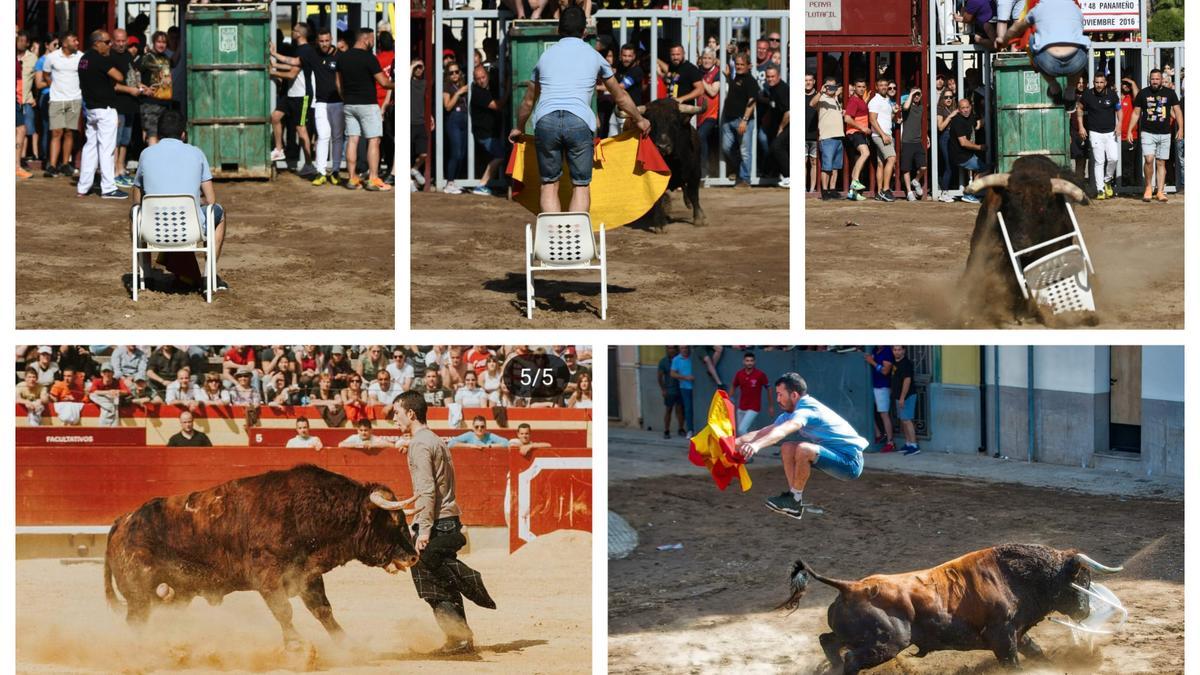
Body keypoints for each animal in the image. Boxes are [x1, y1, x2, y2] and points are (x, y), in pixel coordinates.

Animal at [104, 461, 422, 648]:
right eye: (394, 521)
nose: (413, 556)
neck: (305, 512)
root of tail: (123, 520)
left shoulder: (307, 575)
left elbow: (323, 610)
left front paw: (347, 645)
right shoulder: (267, 578)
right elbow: (284, 610)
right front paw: (298, 647)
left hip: (174, 593)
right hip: (139, 594)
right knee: (136, 622)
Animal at [624, 97, 705, 228]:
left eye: (674, 122)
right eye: (651, 123)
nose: (663, 147)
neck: (673, 161)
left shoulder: (695, 173)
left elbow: (694, 194)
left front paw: (698, 219)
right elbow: (658, 199)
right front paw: (660, 224)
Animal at [777, 540, 1123, 672]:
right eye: (1083, 579)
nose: (1085, 611)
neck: (1012, 576)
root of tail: (850, 587)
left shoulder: (1017, 633)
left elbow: (1036, 652)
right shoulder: (1002, 636)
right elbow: (1013, 662)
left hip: (858, 637)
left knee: (828, 641)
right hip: (886, 644)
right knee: (850, 660)